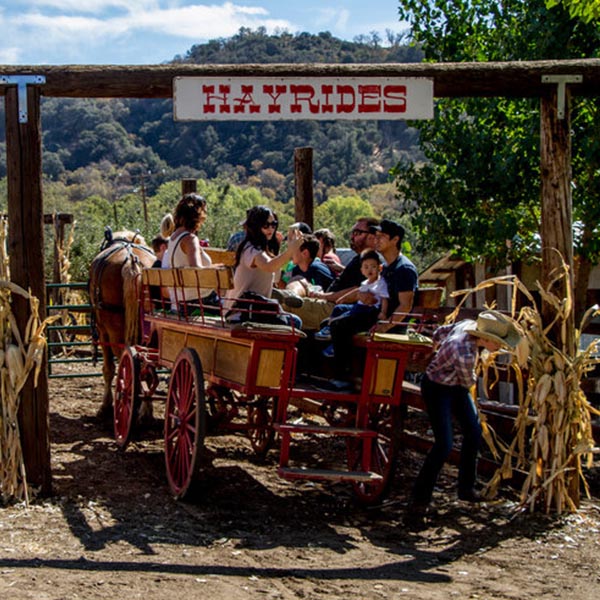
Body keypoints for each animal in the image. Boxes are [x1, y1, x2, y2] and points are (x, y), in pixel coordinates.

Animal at [89, 227, 156, 420]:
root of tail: (131, 260)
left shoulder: (102, 331)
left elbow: (109, 368)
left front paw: (105, 406)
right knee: (146, 363)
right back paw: (145, 409)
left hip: (112, 328)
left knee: (127, 360)